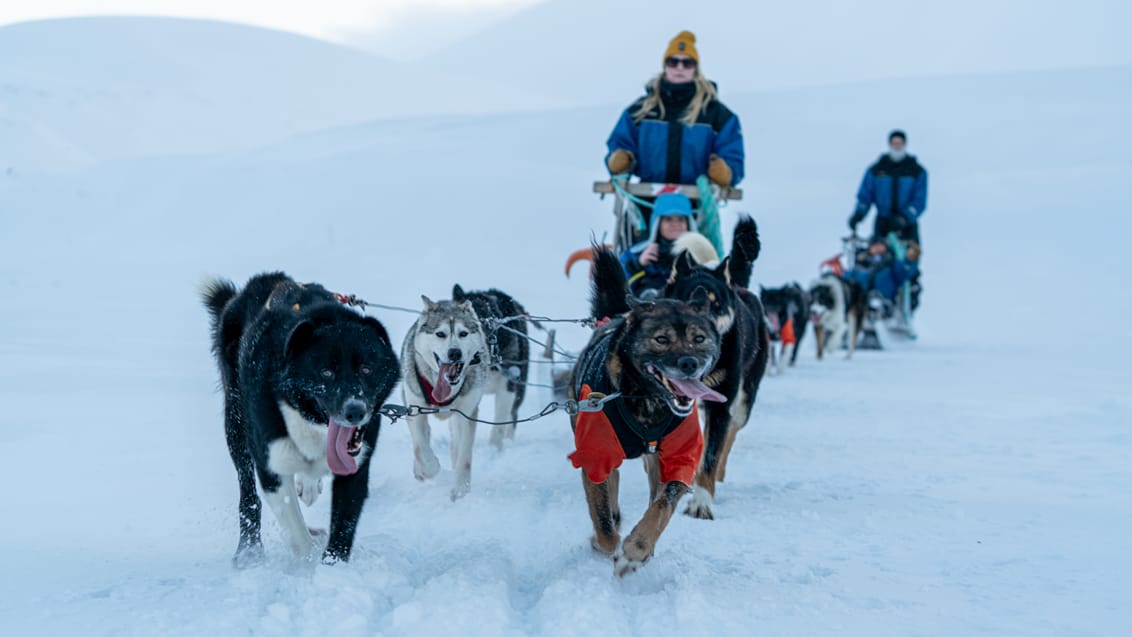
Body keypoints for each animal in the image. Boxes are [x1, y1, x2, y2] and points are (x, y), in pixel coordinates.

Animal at [203, 271, 398, 565]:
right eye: (326, 372)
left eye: (366, 369)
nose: (355, 411)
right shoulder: (272, 466)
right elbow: (295, 530)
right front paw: (307, 562)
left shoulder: (355, 469)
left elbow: (343, 529)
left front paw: (332, 568)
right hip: (236, 426)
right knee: (248, 494)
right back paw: (249, 550)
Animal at [402, 286, 529, 500]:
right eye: (440, 334)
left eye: (463, 333)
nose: (455, 353)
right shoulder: (414, 407)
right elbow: (421, 445)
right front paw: (429, 468)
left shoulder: (467, 413)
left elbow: (464, 455)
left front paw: (461, 489)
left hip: (510, 387)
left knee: (504, 421)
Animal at [661, 217, 774, 520]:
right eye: (688, 302)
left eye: (716, 305)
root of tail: (739, 287)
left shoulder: (722, 405)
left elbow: (712, 454)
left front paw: (701, 502)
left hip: (743, 399)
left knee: (729, 434)